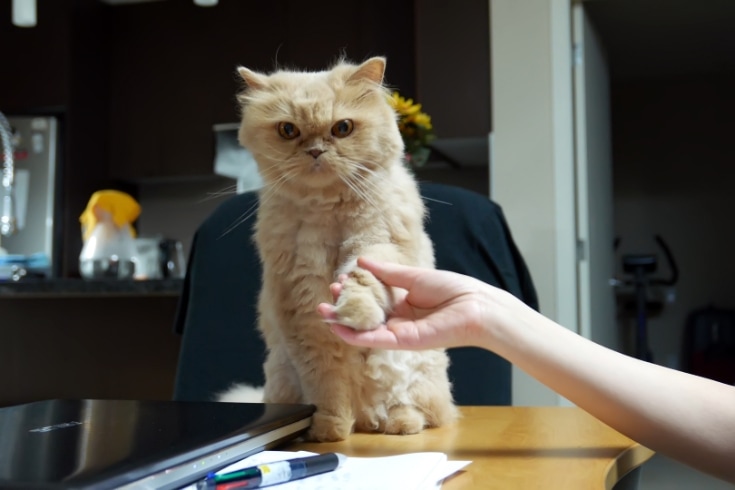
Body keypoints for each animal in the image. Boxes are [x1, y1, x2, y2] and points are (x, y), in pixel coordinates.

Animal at [221, 55, 458, 442]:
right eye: (288, 131)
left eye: (342, 128)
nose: (316, 151)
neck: (327, 209)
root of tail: (367, 418)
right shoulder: (301, 308)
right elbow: (327, 387)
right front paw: (328, 432)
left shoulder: (378, 243)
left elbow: (363, 276)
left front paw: (354, 311)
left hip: (413, 371)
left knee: (419, 411)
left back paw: (399, 423)